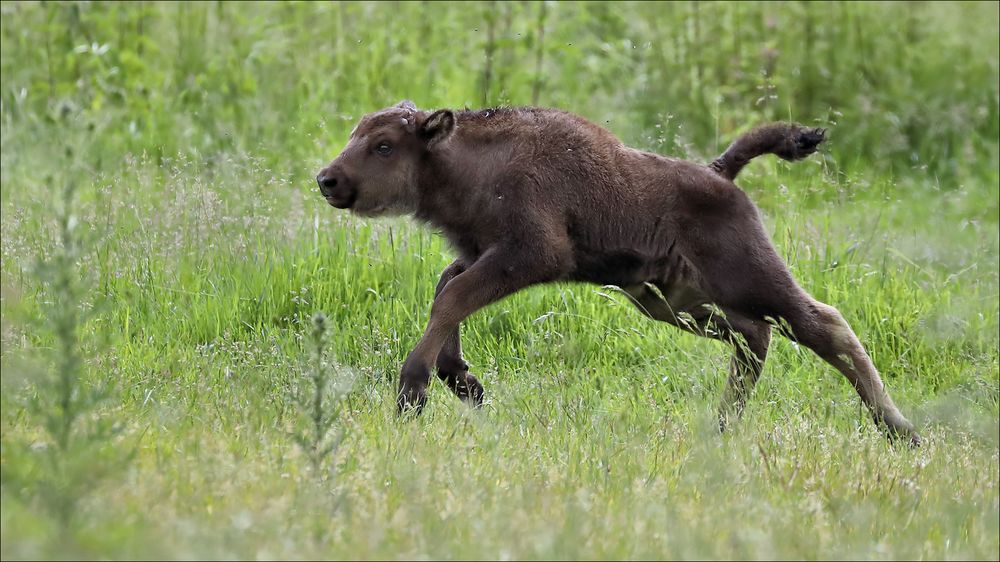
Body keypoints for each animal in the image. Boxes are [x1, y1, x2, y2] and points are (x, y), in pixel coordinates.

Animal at [316, 98, 916, 444]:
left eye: (384, 145)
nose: (327, 179)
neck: (466, 163)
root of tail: (718, 174)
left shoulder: (531, 254)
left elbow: (453, 295)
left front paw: (413, 392)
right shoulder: (480, 253)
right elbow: (448, 291)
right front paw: (464, 382)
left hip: (748, 279)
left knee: (822, 325)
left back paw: (900, 432)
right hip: (669, 301)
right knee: (755, 337)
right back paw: (723, 428)